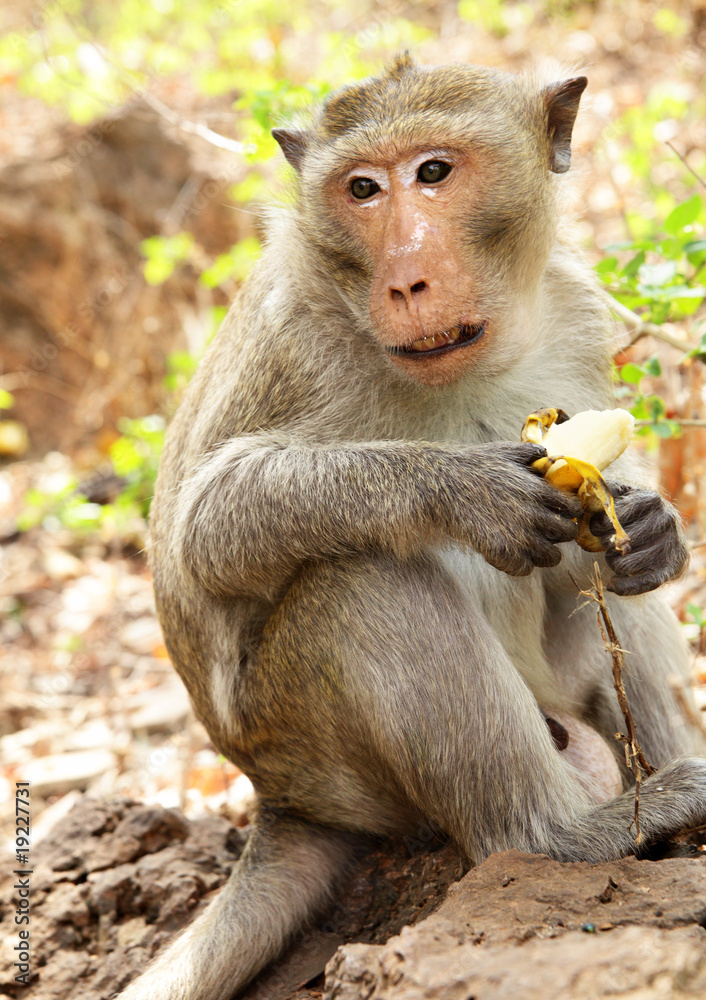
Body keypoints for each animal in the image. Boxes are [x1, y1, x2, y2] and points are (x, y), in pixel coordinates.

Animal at [115, 56, 704, 1000]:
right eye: (361, 189)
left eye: (433, 172)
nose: (405, 281)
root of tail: (278, 797)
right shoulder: (293, 330)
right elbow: (206, 527)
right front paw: (468, 492)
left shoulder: (577, 308)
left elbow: (610, 524)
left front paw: (655, 523)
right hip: (317, 750)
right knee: (363, 582)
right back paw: (569, 835)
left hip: (549, 684)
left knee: (600, 578)